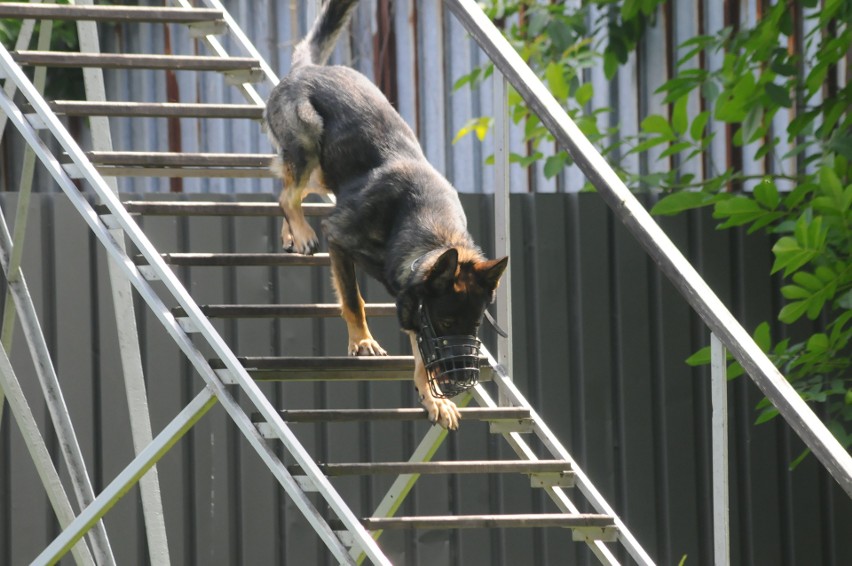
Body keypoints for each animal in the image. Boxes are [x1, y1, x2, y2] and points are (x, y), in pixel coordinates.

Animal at [264, 0, 506, 430]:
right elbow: (353, 299)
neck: (429, 231)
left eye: (475, 325)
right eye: (446, 324)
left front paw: (432, 398)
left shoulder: (414, 306)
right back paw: (301, 231)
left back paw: (290, 233)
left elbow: (421, 354)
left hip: (325, 172)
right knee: (287, 193)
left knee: (285, 186)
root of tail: (306, 69)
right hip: (308, 138)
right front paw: (362, 341)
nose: (462, 378)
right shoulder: (339, 236)